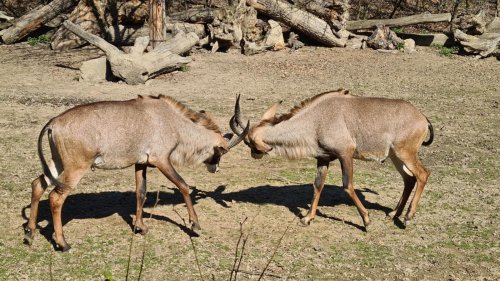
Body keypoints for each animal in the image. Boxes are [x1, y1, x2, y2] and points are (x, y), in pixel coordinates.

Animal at [25, 95, 248, 250]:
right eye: (221, 153)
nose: (215, 168)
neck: (168, 119)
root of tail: (54, 123)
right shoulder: (161, 160)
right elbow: (183, 186)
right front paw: (195, 225)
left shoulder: (141, 163)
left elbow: (141, 192)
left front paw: (140, 227)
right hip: (76, 168)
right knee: (56, 197)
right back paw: (62, 243)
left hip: (57, 163)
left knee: (38, 184)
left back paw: (30, 233)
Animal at [230, 89, 434, 230]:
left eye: (249, 142)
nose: (254, 154)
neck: (316, 119)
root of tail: (422, 118)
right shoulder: (324, 158)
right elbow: (317, 185)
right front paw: (307, 218)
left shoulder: (345, 153)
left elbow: (347, 185)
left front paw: (366, 220)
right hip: (395, 156)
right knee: (409, 179)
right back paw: (393, 214)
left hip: (405, 153)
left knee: (423, 174)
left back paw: (407, 218)